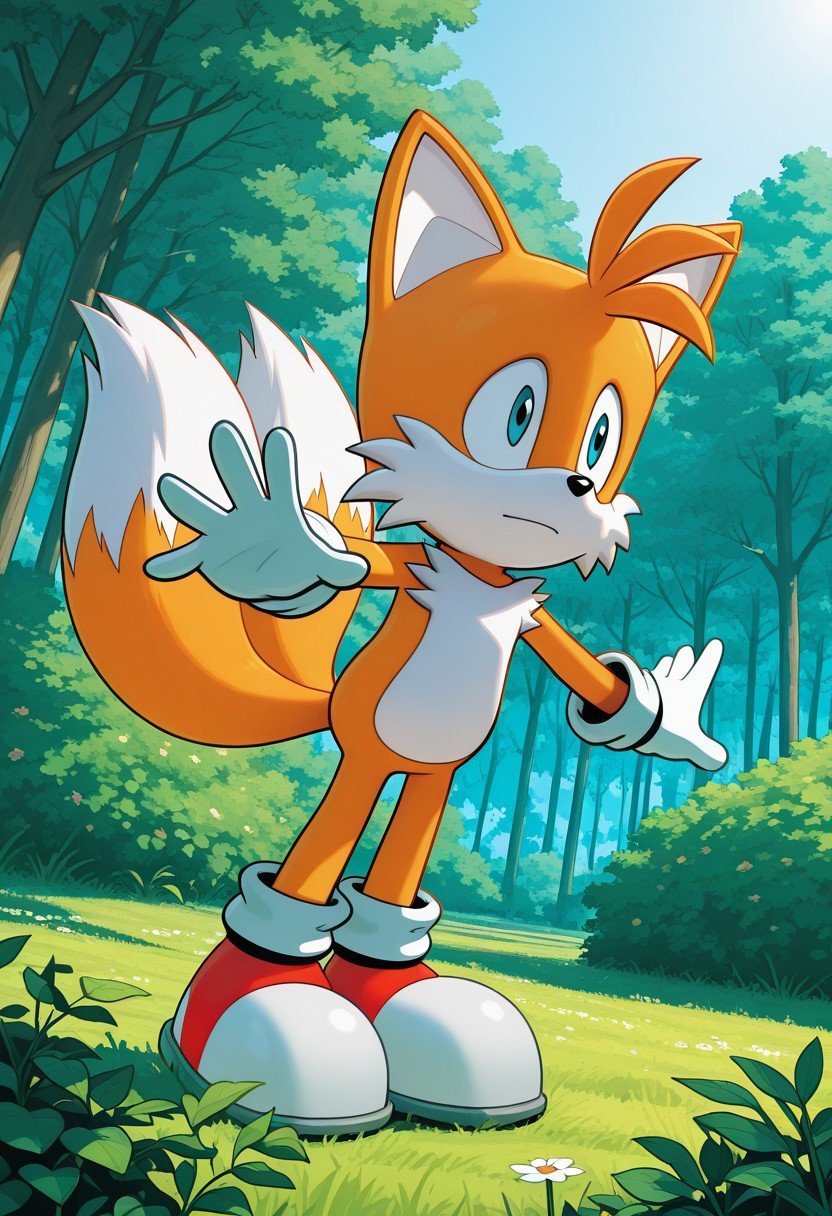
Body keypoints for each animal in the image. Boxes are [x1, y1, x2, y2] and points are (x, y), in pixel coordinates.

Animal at [63, 110, 740, 1135]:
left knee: (395, 882)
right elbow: (345, 568)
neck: (481, 582)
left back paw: (416, 1017)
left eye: (603, 433)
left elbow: (593, 681)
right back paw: (272, 1024)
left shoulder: (529, 623)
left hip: (436, 773)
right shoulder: (408, 571)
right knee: (313, 869)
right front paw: (277, 545)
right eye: (518, 411)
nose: (580, 487)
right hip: (370, 750)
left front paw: (673, 724)